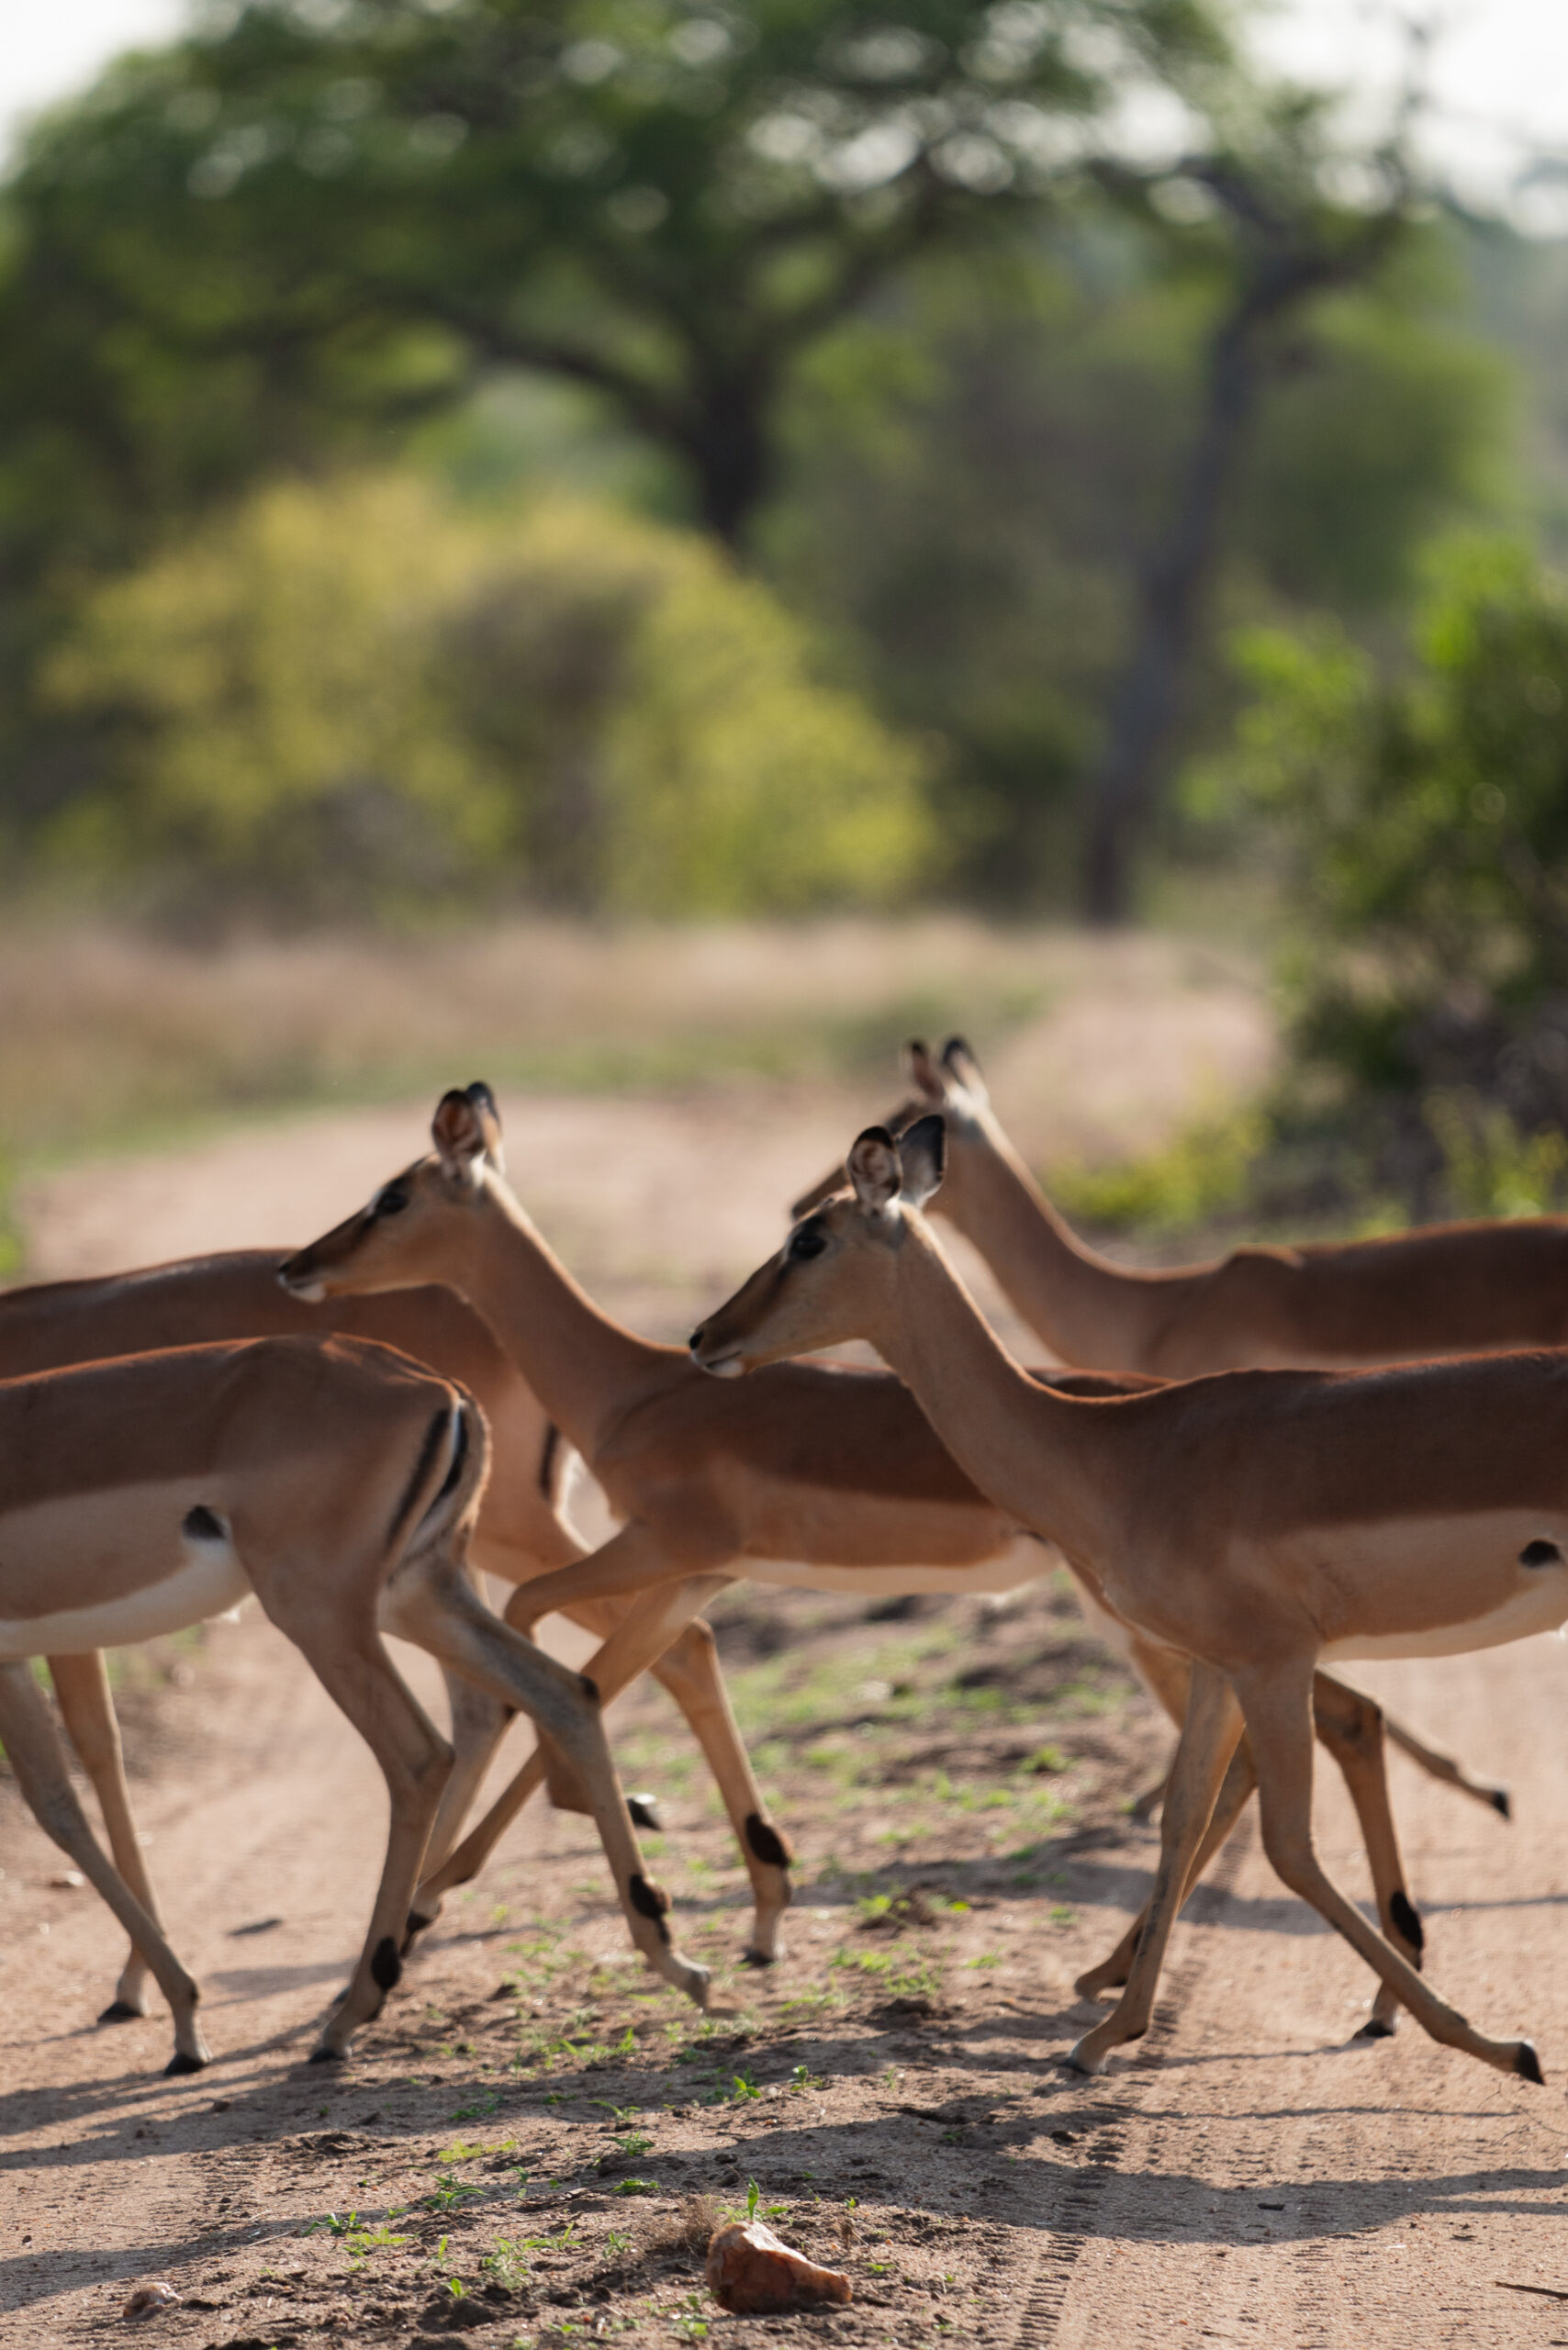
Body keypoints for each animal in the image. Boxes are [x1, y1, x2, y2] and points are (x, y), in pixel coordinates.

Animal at [0, 1231, 785, 2020]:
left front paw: (158, 1997)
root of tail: (443, 1391)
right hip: (418, 1588)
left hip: (357, 1599)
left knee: (452, 1739)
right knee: (558, 1688)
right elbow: (77, 1778)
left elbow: (80, 1780)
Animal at [275, 1090, 1466, 2030]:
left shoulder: (661, 1544)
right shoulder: (694, 1573)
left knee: (1319, 1730)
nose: (297, 1265)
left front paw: (439, 1905)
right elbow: (632, 1668)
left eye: (391, 1196)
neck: (631, 1385)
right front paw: (752, 1907)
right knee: (1315, 1734)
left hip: (1163, 1629)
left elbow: (552, 1644)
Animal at [695, 1109, 1568, 2087]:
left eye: (808, 1238)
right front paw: (1111, 2030)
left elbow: (1289, 1848)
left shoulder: (1272, 1662)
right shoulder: (1221, 1668)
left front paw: (1499, 2044)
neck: (1115, 1451)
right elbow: (1182, 1822)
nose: (704, 1337)